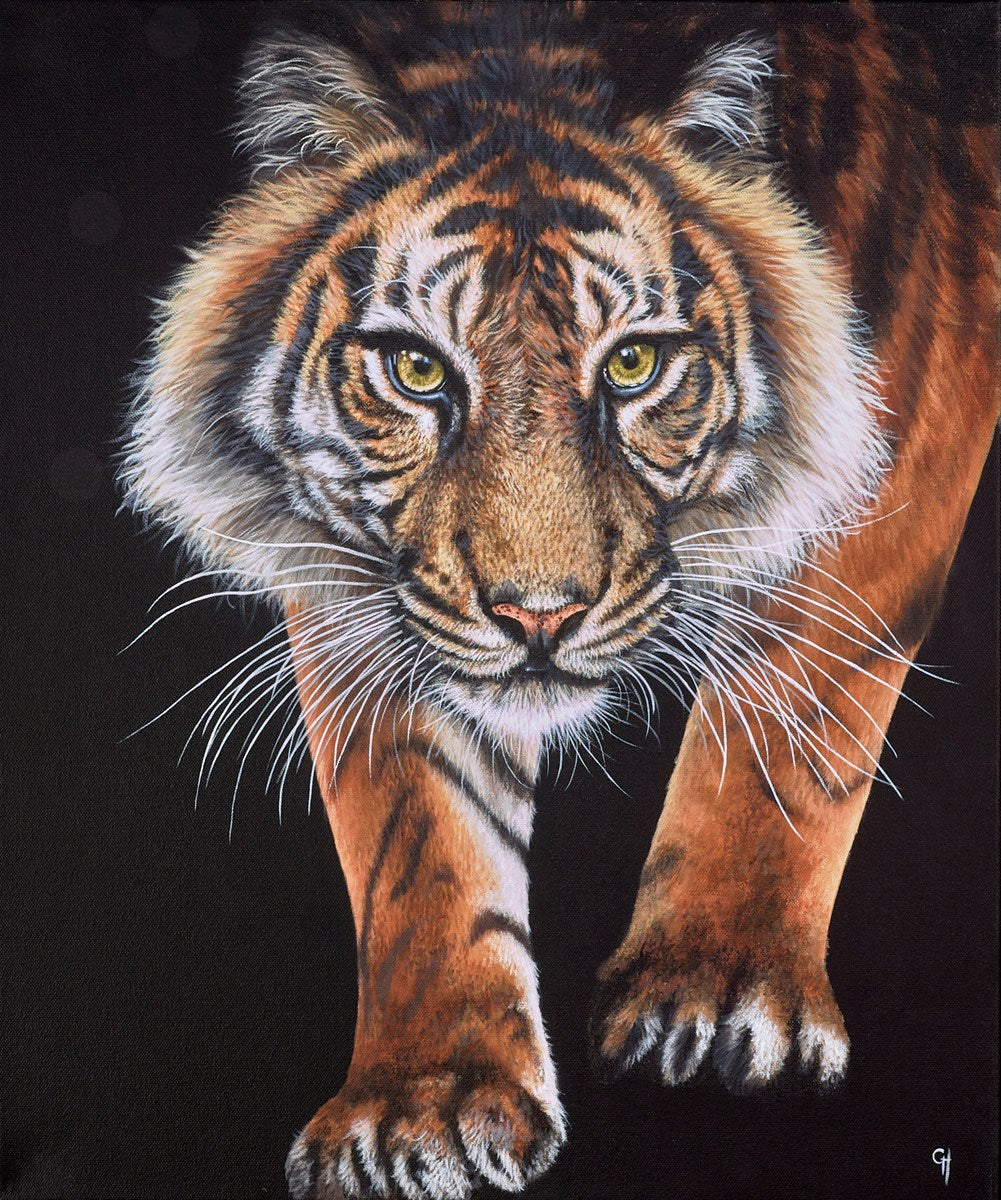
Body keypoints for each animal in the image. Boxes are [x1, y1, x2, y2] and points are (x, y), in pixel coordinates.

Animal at [120, 3, 999, 1198]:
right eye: (415, 371)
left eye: (632, 366)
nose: (538, 615)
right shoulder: (373, 584)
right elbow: (422, 829)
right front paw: (425, 1108)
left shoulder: (908, 394)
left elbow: (792, 711)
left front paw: (717, 992)